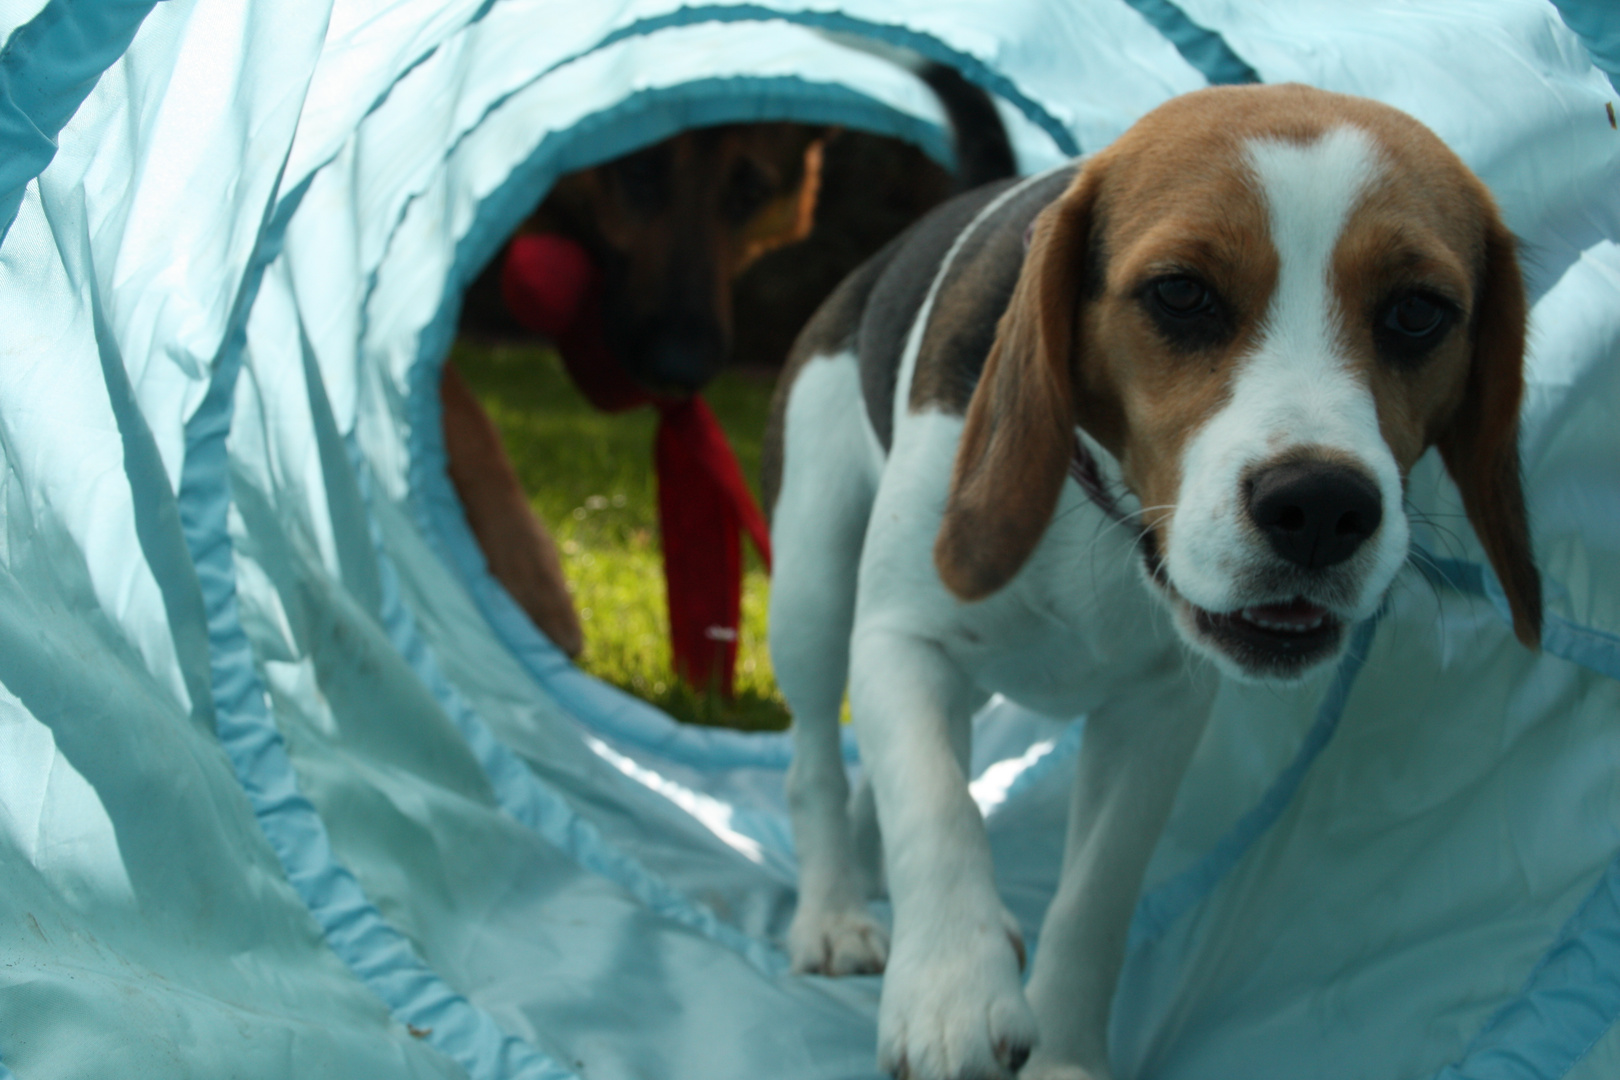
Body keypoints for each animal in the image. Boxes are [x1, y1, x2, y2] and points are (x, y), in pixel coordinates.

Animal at [761, 86, 1542, 1080]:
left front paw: (1061, 1054)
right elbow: (935, 812)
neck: (1105, 513)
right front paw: (951, 998)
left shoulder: (1159, 709)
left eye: (1417, 314)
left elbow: (1094, 896)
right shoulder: (906, 640)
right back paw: (833, 914)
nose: (1320, 506)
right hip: (813, 588)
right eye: (1181, 293)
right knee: (816, 764)